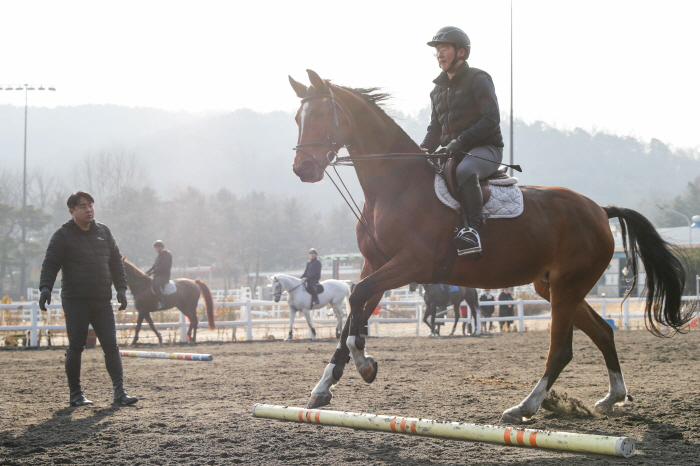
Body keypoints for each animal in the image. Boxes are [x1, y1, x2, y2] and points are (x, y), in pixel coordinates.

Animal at [288, 68, 696, 422]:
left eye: (323, 114)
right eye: (297, 117)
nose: (302, 170)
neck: (396, 186)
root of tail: (599, 209)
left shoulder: (411, 263)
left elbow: (358, 301)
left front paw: (365, 362)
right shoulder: (376, 264)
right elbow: (353, 312)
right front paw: (324, 387)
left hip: (567, 287)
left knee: (561, 351)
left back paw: (525, 407)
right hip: (554, 287)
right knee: (602, 331)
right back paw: (613, 397)